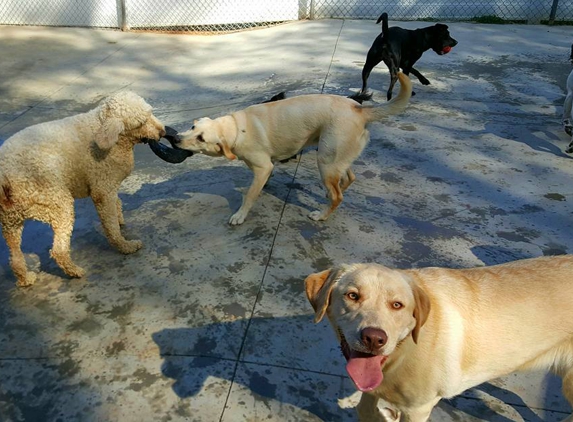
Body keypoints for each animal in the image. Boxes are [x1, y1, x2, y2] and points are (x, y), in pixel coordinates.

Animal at [0, 90, 165, 286]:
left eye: (150, 113)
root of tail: (5, 175)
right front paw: (124, 245)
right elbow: (111, 226)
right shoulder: (102, 188)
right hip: (57, 203)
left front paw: (119, 218)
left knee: (15, 258)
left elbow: (116, 203)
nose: (163, 132)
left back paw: (25, 279)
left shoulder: (109, 184)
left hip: (10, 220)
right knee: (58, 250)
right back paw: (76, 271)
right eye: (141, 122)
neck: (101, 123)